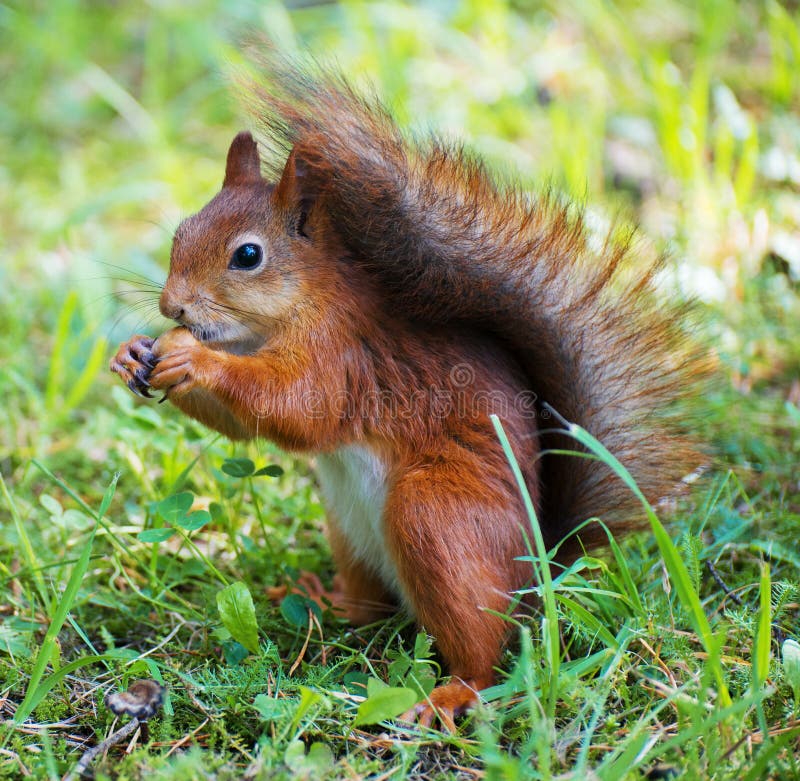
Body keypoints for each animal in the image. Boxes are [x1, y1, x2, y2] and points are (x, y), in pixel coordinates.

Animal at [108, 59, 708, 724]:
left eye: (247, 255)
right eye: (180, 231)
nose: (172, 306)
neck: (292, 309)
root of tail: (539, 568)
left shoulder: (340, 353)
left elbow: (296, 408)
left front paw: (191, 356)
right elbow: (246, 424)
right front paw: (133, 353)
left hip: (435, 518)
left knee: (484, 648)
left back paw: (451, 693)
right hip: (348, 530)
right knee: (372, 609)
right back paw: (322, 602)